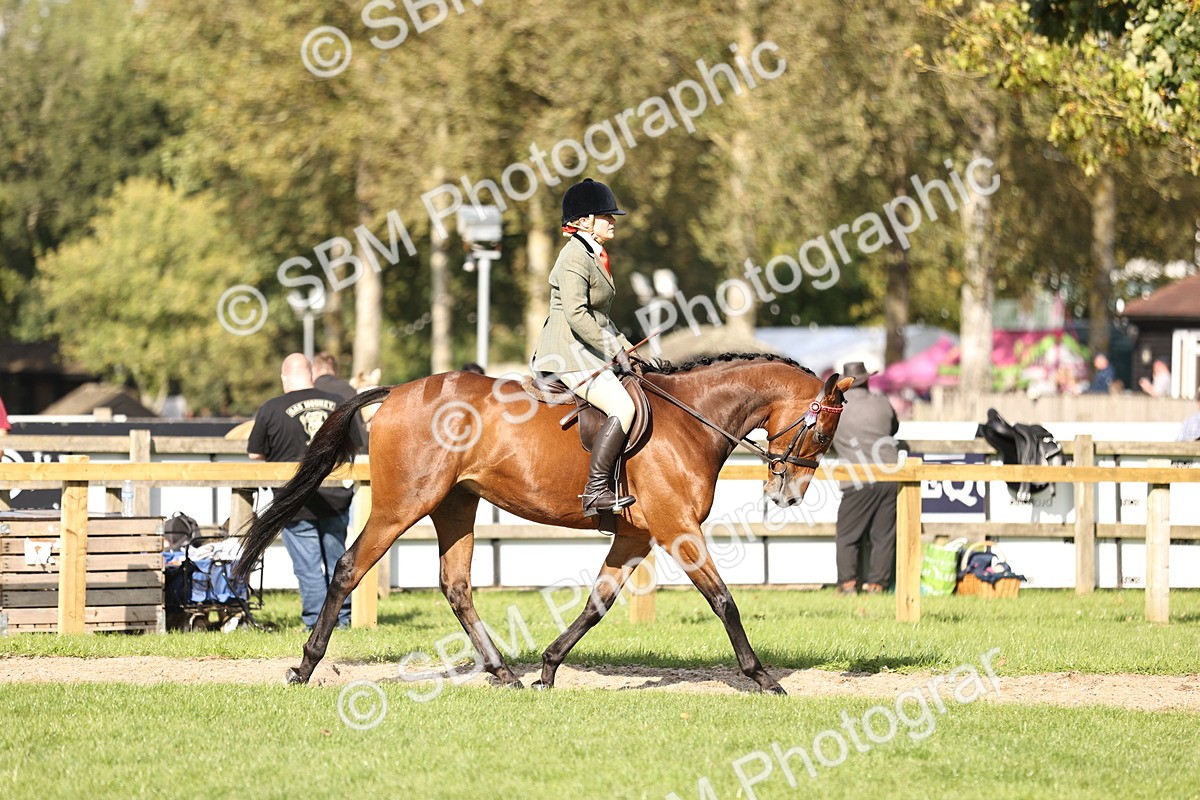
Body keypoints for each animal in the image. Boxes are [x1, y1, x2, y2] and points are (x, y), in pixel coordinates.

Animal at [235, 353, 854, 694]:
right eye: (823, 434)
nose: (787, 494)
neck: (693, 419)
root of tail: (399, 391)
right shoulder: (677, 529)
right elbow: (724, 601)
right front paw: (764, 678)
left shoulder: (636, 534)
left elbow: (598, 604)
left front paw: (549, 668)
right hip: (401, 505)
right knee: (347, 568)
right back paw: (305, 667)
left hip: (456, 506)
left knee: (455, 586)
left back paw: (503, 672)